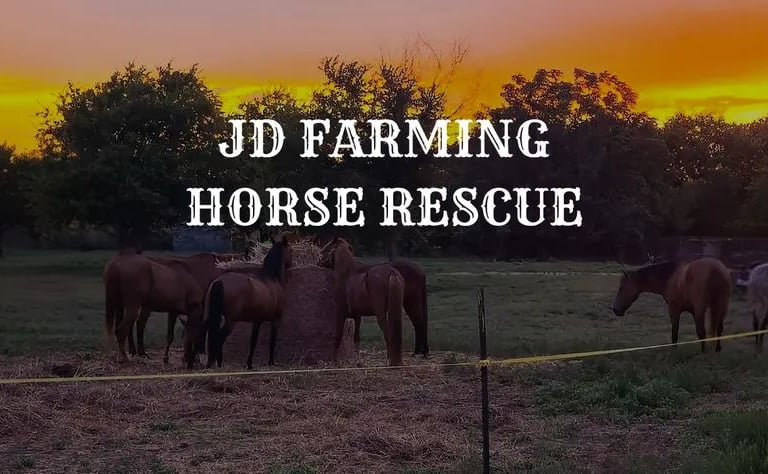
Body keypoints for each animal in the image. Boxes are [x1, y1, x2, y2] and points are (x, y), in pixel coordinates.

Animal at [202, 235, 293, 369]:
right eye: (291, 250)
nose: (290, 264)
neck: (271, 279)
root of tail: (220, 281)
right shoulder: (276, 320)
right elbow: (272, 341)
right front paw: (271, 362)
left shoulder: (257, 321)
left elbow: (253, 342)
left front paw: (249, 364)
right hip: (231, 322)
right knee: (219, 339)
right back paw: (217, 364)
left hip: (212, 318)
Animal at [320, 237, 405, 366]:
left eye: (326, 248)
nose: (318, 261)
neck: (346, 275)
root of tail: (392, 273)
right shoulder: (357, 316)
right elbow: (357, 338)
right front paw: (358, 362)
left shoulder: (340, 313)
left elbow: (338, 336)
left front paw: (335, 361)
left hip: (380, 314)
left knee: (388, 334)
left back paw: (388, 360)